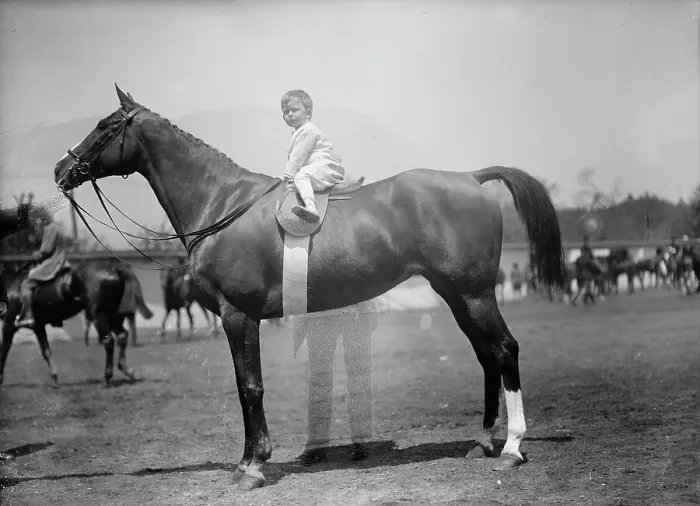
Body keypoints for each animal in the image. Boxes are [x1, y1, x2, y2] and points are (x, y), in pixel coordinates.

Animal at [1, 261, 135, 386]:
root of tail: (114, 270)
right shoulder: (38, 327)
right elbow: (46, 351)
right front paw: (54, 377)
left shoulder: (9, 324)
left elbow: (4, 350)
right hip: (113, 316)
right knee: (122, 335)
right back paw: (127, 370)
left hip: (99, 316)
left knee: (108, 340)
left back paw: (108, 376)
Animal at [53, 85, 565, 490]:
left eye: (104, 126)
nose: (60, 169)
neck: (223, 204)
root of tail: (472, 179)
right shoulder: (236, 319)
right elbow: (244, 386)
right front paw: (248, 461)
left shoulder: (239, 316)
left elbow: (250, 387)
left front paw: (253, 466)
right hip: (456, 295)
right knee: (486, 356)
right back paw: (482, 442)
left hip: (475, 294)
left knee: (505, 350)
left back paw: (512, 448)